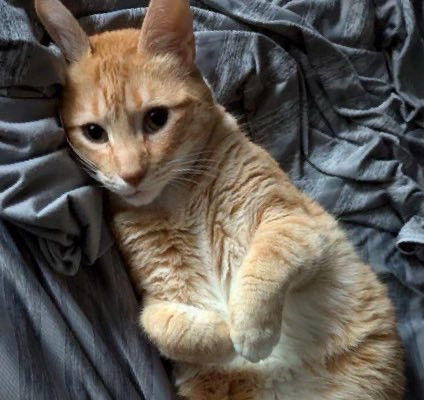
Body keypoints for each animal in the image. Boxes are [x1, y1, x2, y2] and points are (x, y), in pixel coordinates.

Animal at [38, 0, 406, 398]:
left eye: (156, 118)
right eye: (94, 132)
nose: (131, 174)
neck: (177, 198)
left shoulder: (296, 223)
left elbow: (265, 264)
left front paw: (249, 331)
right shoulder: (154, 296)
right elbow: (162, 327)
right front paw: (224, 338)